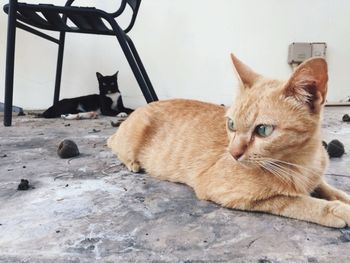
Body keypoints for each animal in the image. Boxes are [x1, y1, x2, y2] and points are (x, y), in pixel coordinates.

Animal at [108, 54, 350, 229]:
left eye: (263, 130)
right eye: (231, 124)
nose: (233, 154)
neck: (301, 163)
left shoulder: (316, 178)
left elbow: (329, 188)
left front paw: (340, 198)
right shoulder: (223, 190)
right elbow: (293, 200)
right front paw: (336, 210)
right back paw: (132, 163)